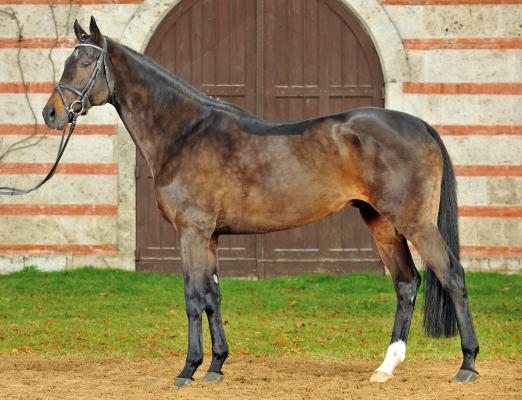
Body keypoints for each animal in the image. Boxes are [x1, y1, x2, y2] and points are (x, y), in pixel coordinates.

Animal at [42, 18, 478, 388]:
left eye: (85, 62)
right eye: (66, 61)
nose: (51, 113)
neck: (186, 132)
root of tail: (420, 125)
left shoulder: (191, 232)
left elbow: (192, 297)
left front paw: (188, 369)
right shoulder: (210, 236)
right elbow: (213, 297)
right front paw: (216, 366)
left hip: (415, 222)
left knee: (451, 275)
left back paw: (467, 364)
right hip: (382, 222)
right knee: (406, 282)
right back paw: (386, 367)